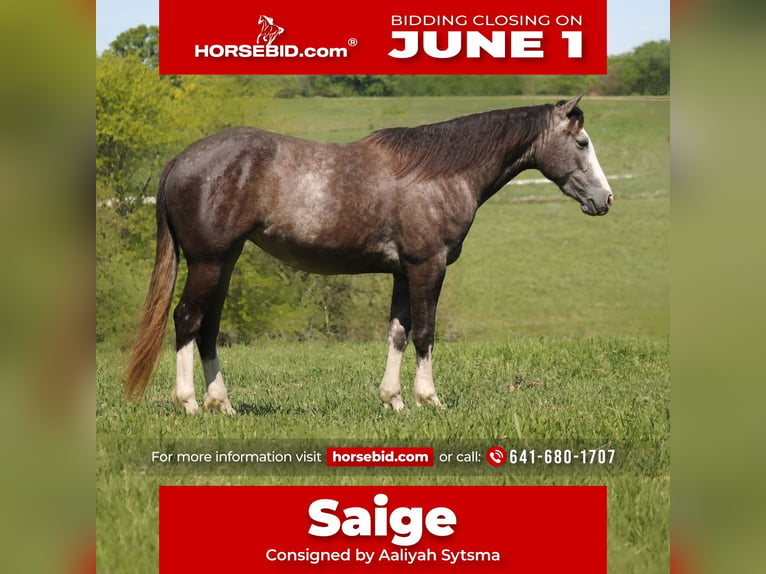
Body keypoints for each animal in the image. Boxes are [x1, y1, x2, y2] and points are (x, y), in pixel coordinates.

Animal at [124, 95, 613, 414]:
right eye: (582, 143)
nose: (605, 199)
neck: (439, 173)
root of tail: (181, 160)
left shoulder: (402, 273)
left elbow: (398, 332)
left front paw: (393, 400)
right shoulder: (428, 267)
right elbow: (425, 333)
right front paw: (428, 399)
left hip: (224, 263)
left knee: (208, 327)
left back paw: (221, 404)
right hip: (208, 263)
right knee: (187, 320)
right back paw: (189, 403)